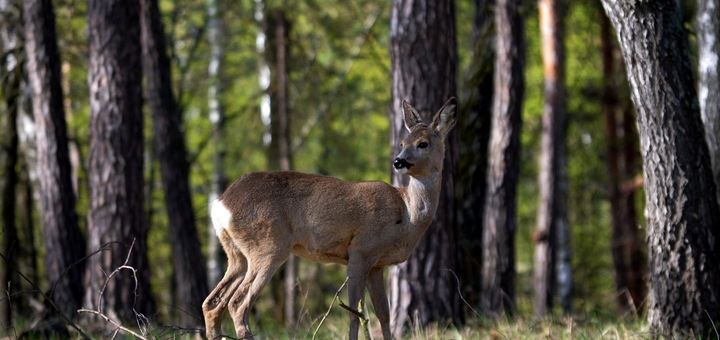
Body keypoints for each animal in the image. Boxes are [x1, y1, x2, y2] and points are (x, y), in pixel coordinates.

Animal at [204, 97, 456, 338]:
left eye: (422, 143)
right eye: (403, 143)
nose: (398, 161)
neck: (406, 215)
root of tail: (220, 204)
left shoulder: (377, 265)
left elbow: (383, 314)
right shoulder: (361, 250)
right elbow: (356, 312)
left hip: (236, 254)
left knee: (212, 304)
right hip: (268, 245)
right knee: (237, 304)